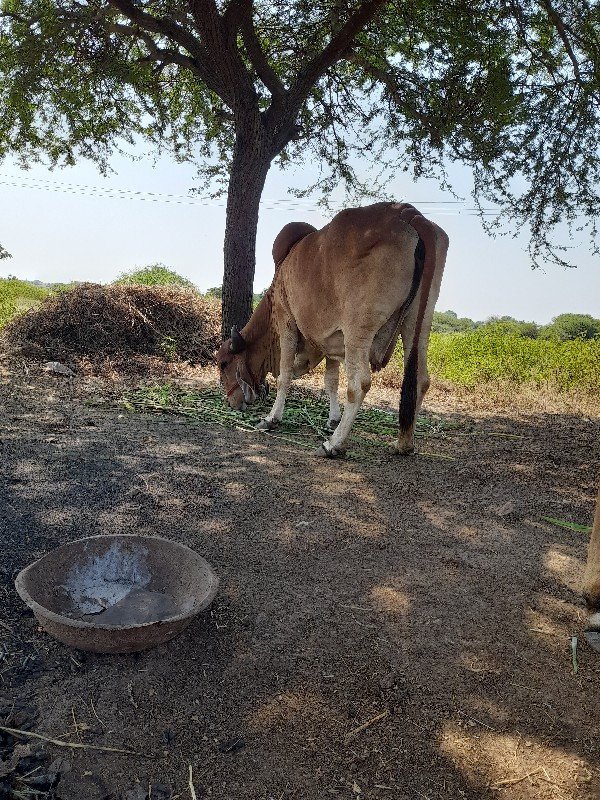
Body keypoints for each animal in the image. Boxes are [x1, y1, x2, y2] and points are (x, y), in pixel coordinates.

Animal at [217, 202, 450, 456]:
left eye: (224, 364)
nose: (230, 402)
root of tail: (407, 212)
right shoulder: (332, 342)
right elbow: (331, 381)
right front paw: (332, 419)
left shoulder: (286, 320)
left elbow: (284, 374)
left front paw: (271, 418)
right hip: (418, 322)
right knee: (420, 380)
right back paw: (403, 444)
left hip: (358, 328)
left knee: (359, 384)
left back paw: (333, 444)